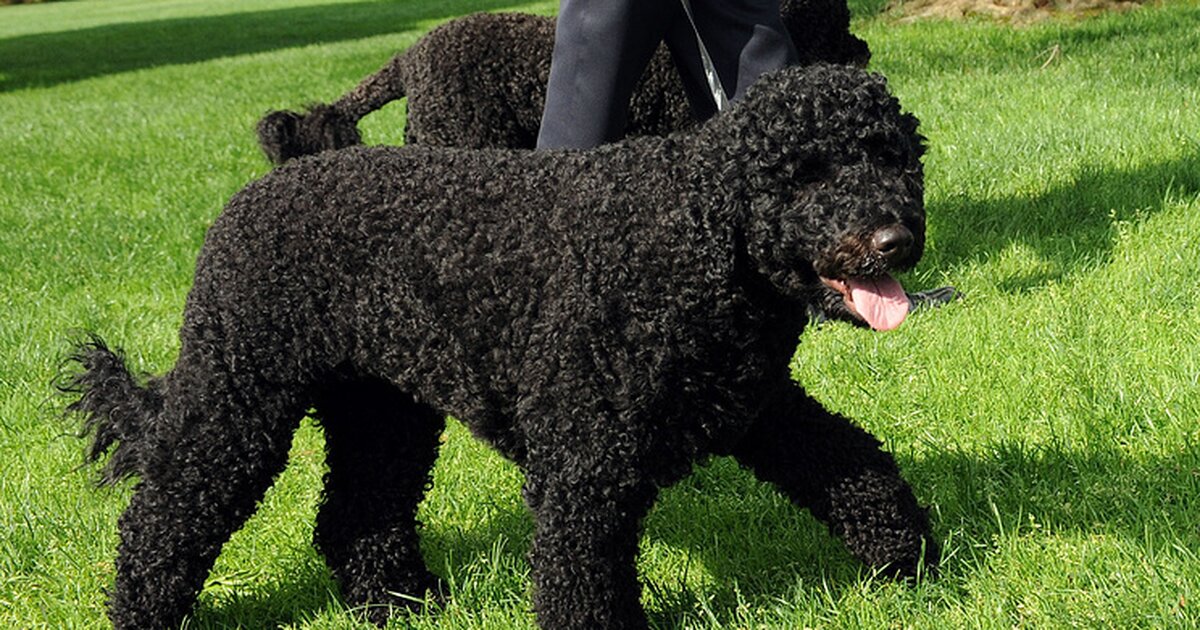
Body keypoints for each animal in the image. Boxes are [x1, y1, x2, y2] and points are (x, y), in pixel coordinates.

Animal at [68, 65, 936, 628]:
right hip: (236, 396)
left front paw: (910, 563)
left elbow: (854, 464)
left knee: (356, 516)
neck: (693, 234)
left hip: (383, 408)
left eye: (893, 157)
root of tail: (258, 189)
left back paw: (401, 606)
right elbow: (581, 583)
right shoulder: (586, 461)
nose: (894, 240)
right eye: (807, 173)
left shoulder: (754, 405)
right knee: (164, 516)